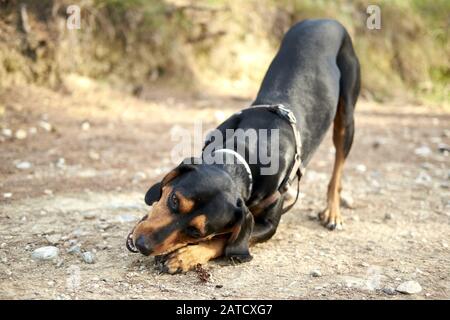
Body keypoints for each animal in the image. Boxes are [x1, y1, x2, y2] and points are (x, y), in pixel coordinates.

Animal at [127, 19, 362, 272]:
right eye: (174, 200)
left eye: (196, 232)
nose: (142, 244)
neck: (244, 159)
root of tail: (326, 20)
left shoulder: (267, 225)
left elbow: (227, 239)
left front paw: (185, 255)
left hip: (346, 118)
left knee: (338, 167)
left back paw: (333, 212)